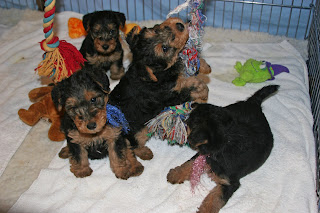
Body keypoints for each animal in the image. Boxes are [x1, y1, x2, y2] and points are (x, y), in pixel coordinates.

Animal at [109, 18, 210, 161]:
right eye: (164, 48)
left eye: (156, 29)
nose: (179, 25)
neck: (157, 73)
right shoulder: (170, 95)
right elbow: (189, 87)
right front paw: (203, 92)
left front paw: (205, 67)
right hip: (138, 130)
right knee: (134, 143)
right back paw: (145, 153)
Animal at [166, 85, 278, 213]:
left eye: (188, 124)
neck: (225, 142)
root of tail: (254, 102)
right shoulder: (204, 154)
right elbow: (189, 163)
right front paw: (175, 174)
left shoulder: (229, 183)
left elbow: (215, 198)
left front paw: (204, 210)